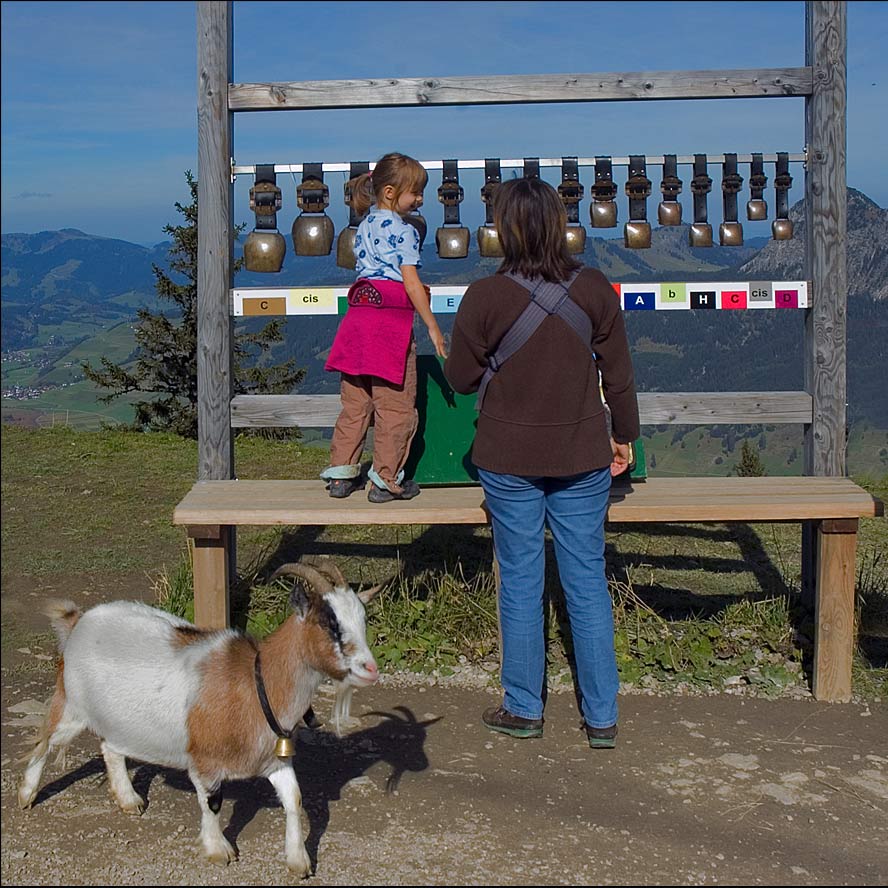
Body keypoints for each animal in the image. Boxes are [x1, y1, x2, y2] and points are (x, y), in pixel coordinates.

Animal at [18, 560, 378, 876]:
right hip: (71, 706)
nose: (370, 669)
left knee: (110, 748)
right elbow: (212, 803)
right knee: (45, 740)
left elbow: (294, 799)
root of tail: (79, 621)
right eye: (329, 623)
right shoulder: (204, 763)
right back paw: (26, 795)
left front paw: (299, 862)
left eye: (362, 620)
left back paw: (129, 800)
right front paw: (219, 851)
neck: (255, 682)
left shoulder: (275, 760)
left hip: (118, 722)